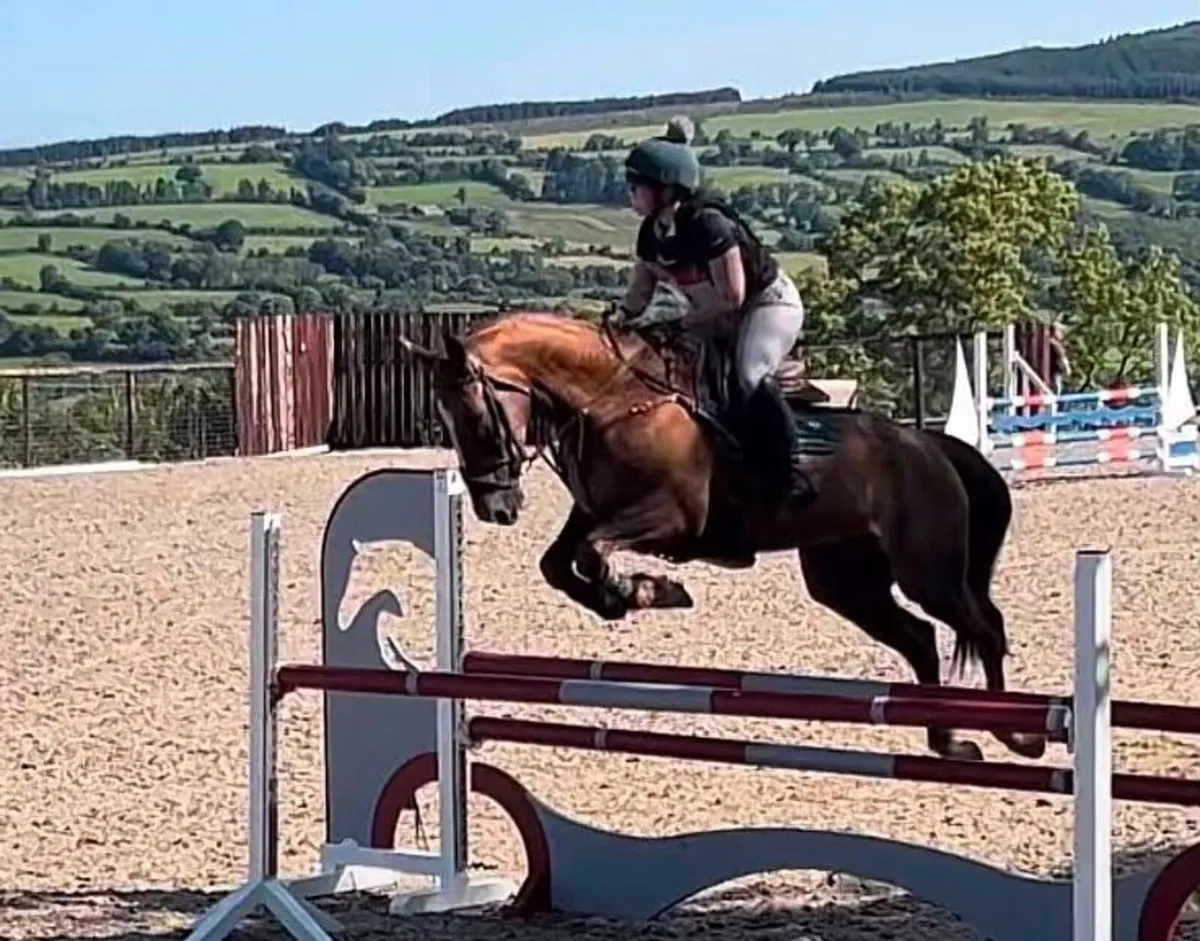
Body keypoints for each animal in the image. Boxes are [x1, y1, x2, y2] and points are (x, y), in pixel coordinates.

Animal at [399, 309, 1042, 764]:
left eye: (478, 417)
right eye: (445, 422)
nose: (495, 508)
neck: (613, 399)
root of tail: (929, 445)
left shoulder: (671, 516)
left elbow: (591, 553)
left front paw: (646, 590)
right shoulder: (594, 509)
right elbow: (560, 563)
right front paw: (622, 598)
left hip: (926, 570)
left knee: (983, 628)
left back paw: (1018, 737)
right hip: (846, 581)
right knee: (920, 638)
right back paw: (947, 740)